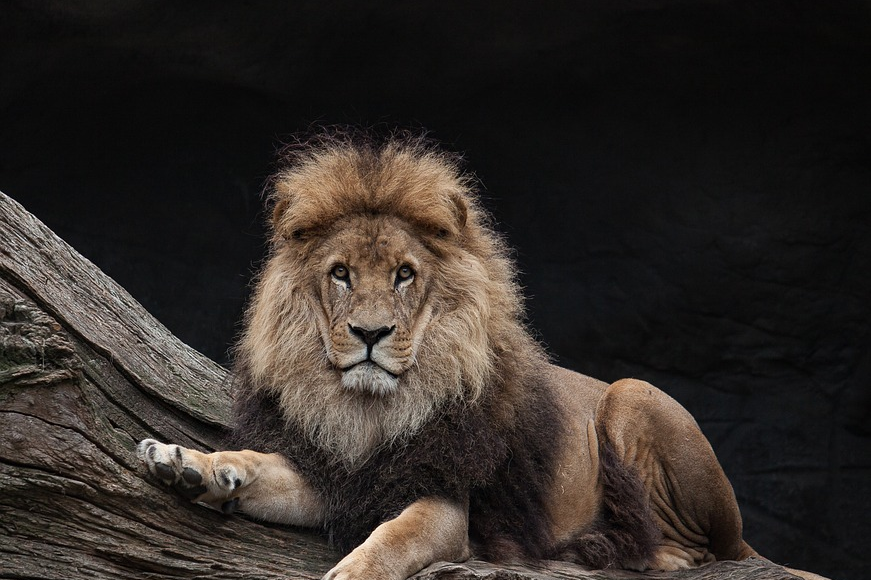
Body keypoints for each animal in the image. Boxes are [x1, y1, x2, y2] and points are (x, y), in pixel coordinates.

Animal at [136, 130, 824, 580]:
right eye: (340, 273)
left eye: (405, 275)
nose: (369, 333)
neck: (370, 411)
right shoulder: (342, 475)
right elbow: (259, 463)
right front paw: (189, 463)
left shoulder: (445, 505)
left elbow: (390, 540)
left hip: (633, 396)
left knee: (692, 552)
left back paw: (608, 550)